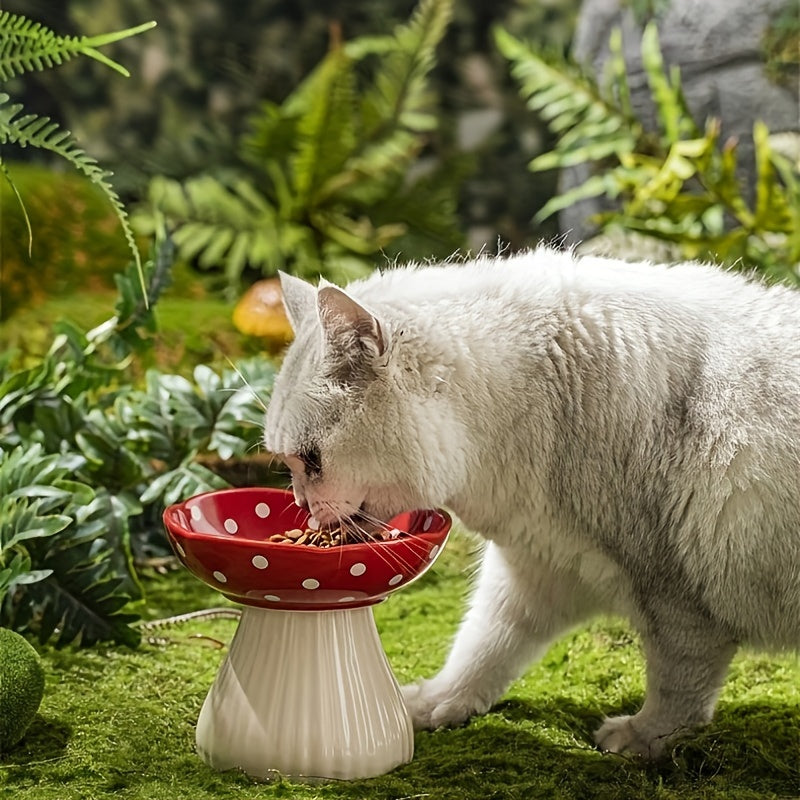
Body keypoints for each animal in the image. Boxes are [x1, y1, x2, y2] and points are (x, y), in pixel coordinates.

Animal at [264, 248, 800, 756]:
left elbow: (678, 687)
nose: (303, 508)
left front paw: (645, 738)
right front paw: (438, 703)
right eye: (289, 462)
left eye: (311, 460)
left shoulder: (674, 597)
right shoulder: (534, 567)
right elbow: (483, 647)